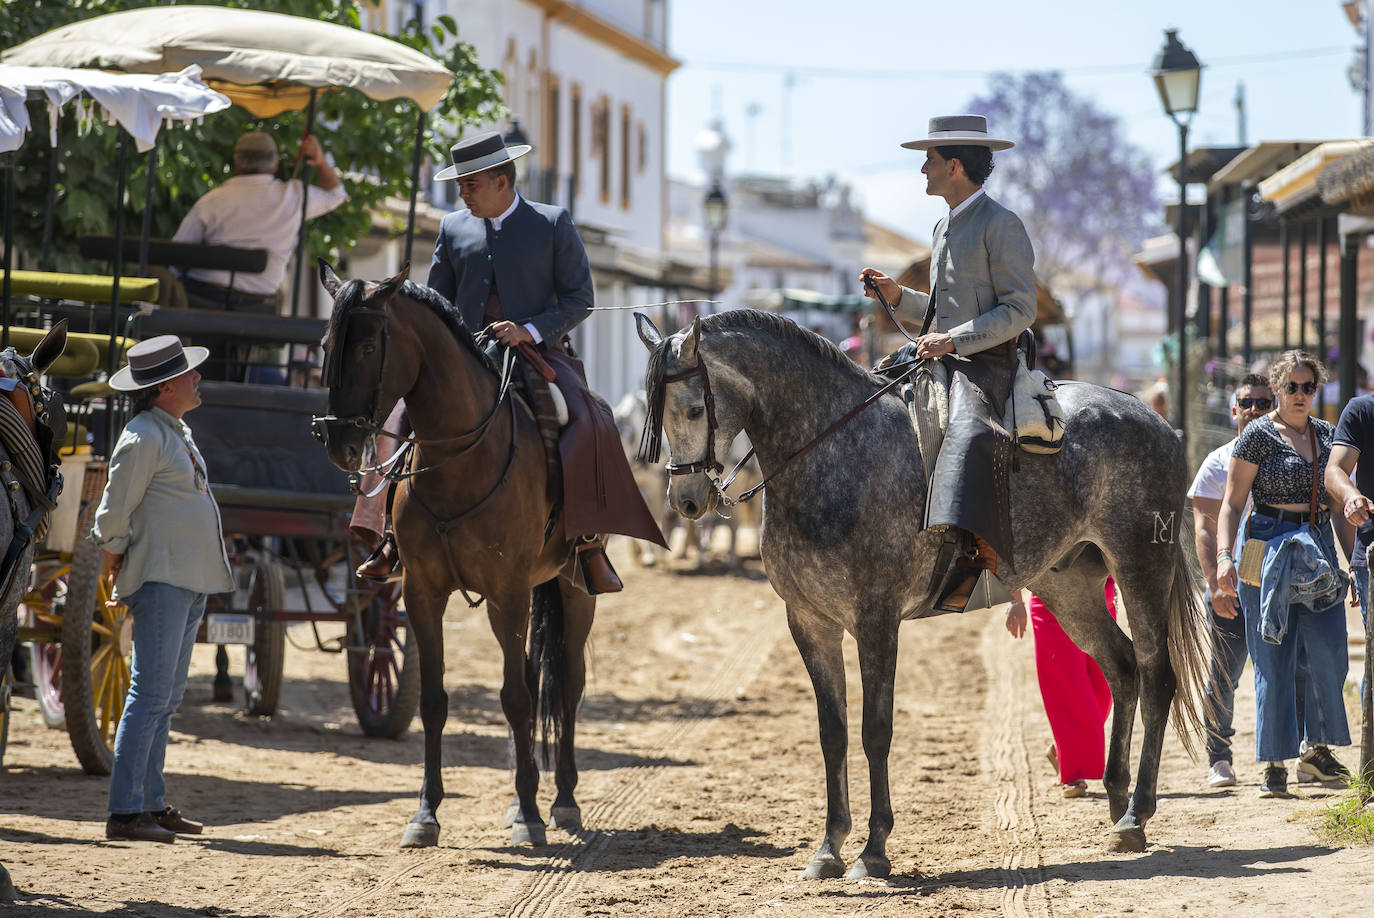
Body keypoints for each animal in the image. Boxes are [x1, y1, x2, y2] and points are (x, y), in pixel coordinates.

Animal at [316, 261, 596, 852]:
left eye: (370, 345)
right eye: (327, 344)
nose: (339, 445)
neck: (461, 459)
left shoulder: (507, 594)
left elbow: (517, 698)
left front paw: (533, 816)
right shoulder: (423, 592)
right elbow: (435, 700)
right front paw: (426, 813)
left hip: (573, 591)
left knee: (566, 686)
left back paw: (561, 800)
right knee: (537, 680)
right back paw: (521, 799)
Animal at [637, 311, 1209, 879]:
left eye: (694, 408)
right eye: (656, 412)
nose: (686, 500)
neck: (833, 453)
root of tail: (1152, 418)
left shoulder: (875, 620)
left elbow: (875, 731)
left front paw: (873, 849)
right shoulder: (809, 621)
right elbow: (832, 733)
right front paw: (829, 847)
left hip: (1140, 566)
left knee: (1157, 676)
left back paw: (1136, 813)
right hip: (1068, 585)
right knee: (1122, 668)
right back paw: (1117, 803)